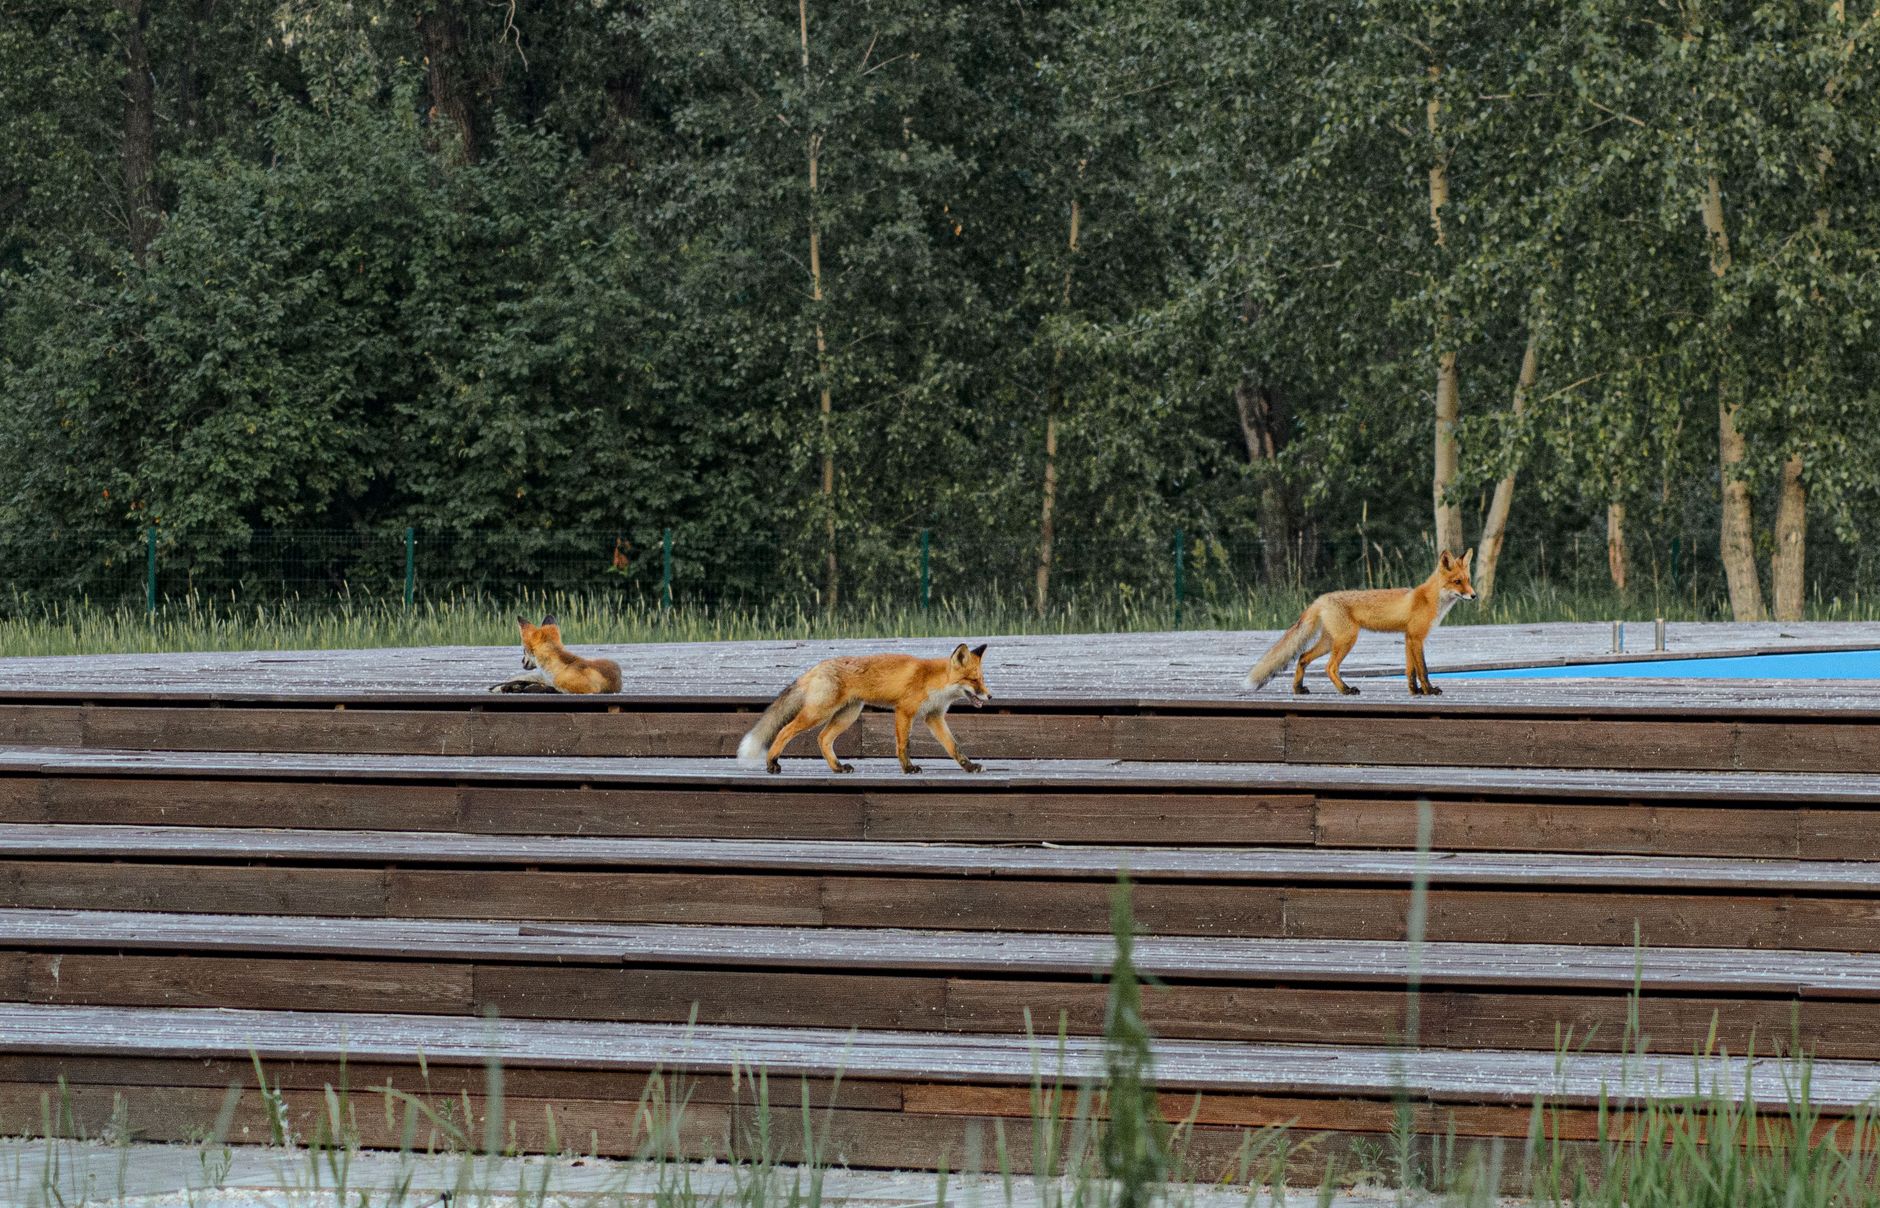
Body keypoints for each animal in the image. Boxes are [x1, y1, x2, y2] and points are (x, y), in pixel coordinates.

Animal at [736, 643, 991, 775]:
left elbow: (954, 747)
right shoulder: (904, 711)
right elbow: (904, 745)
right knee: (784, 730)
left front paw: (969, 766)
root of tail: (817, 666)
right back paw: (771, 763)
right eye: (973, 680)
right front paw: (908, 768)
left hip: (847, 715)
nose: (989, 696)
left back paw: (838, 767)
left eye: (982, 679)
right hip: (818, 713)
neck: (933, 681)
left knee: (823, 738)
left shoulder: (934, 716)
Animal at [1246, 548, 1477, 697]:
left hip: (1329, 641)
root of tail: (1321, 598)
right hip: (1347, 639)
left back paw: (1298, 689)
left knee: (1302, 657)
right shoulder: (1417, 637)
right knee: (1330, 667)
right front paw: (1429, 690)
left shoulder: (1408, 637)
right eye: (1457, 582)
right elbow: (1423, 669)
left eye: (1468, 580)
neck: (1429, 599)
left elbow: (1410, 671)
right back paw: (1346, 690)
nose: (1474, 596)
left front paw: (1415, 691)